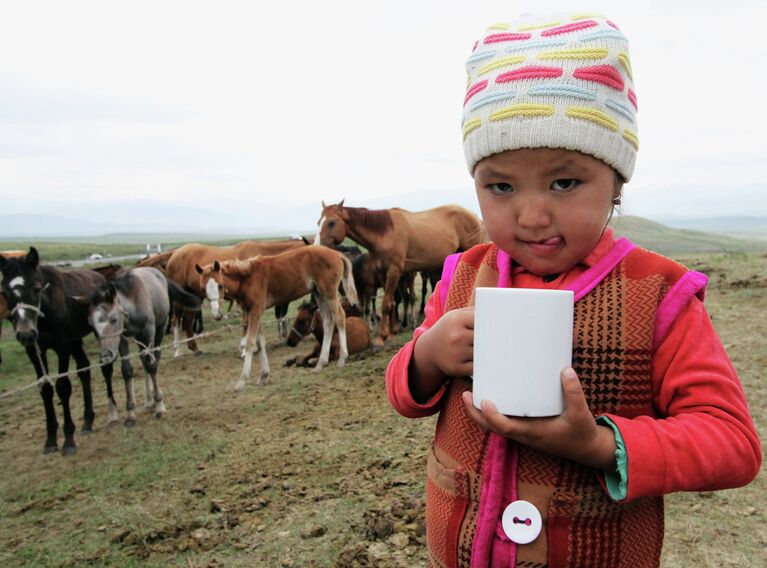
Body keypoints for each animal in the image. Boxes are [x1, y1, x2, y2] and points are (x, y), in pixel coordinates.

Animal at [0, 246, 117, 454]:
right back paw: (87, 421)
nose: (25, 333)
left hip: (95, 334)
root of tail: (99, 276)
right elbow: (46, 388)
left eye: (36, 288)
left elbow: (63, 387)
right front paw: (51, 440)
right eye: (4, 293)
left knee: (105, 367)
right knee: (84, 369)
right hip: (75, 341)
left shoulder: (62, 346)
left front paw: (68, 439)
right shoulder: (34, 350)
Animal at [83, 268, 201, 424]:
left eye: (114, 319)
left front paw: (160, 406)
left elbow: (152, 365)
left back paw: (154, 400)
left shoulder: (149, 330)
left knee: (154, 358)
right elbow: (127, 370)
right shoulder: (122, 338)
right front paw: (130, 413)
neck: (133, 302)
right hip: (139, 338)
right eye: (91, 325)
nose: (106, 355)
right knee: (144, 361)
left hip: (159, 329)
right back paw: (148, 401)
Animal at [166, 239, 308, 356]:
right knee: (176, 320)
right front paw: (246, 349)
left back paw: (195, 348)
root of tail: (174, 253)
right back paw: (177, 350)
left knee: (187, 320)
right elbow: (247, 323)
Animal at [195, 246, 356, 392]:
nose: (217, 315)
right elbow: (260, 343)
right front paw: (263, 376)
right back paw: (320, 364)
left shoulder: (256, 310)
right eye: (203, 289)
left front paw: (241, 381)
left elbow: (250, 343)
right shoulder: (254, 312)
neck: (247, 278)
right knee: (328, 321)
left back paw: (342, 358)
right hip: (318, 293)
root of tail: (336, 253)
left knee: (340, 317)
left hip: (329, 292)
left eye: (220, 285)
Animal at [318, 202, 486, 344]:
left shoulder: (394, 271)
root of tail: (472, 214)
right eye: (319, 222)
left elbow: (386, 303)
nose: (319, 246)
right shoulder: (383, 273)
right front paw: (392, 332)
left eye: (331, 222)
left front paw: (382, 336)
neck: (384, 234)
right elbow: (392, 302)